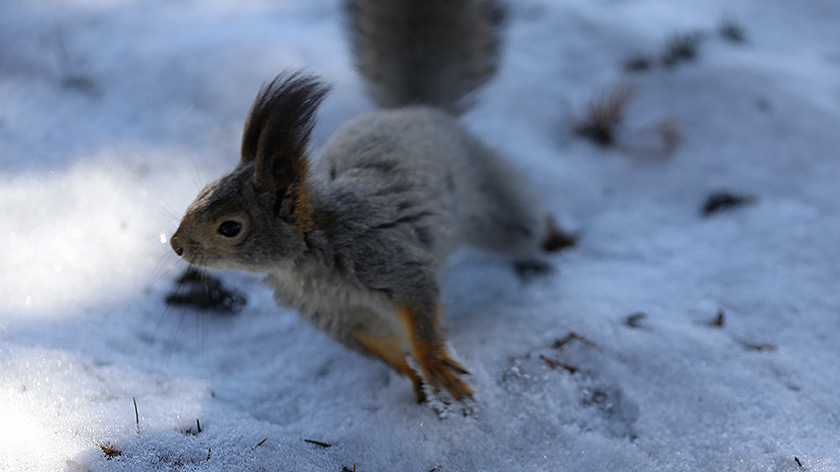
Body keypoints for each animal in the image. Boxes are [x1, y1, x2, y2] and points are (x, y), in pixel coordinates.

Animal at [171, 0, 576, 402]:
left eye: (230, 227)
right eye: (199, 194)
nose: (176, 246)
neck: (307, 256)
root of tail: (416, 109)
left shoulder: (390, 261)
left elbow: (421, 308)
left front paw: (434, 364)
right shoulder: (339, 317)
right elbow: (383, 347)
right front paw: (414, 376)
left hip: (496, 209)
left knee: (527, 222)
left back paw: (559, 238)